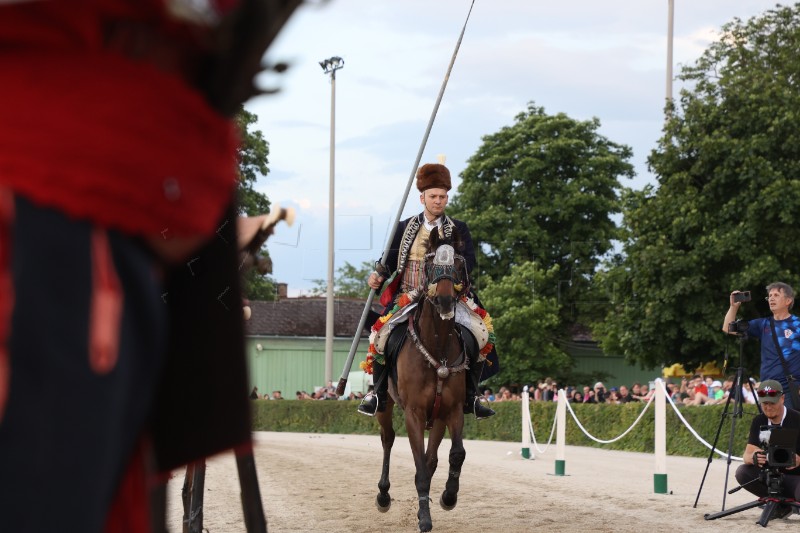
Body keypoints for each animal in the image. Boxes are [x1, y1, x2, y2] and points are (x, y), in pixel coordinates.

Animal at [376, 230, 468, 532]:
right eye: (430, 265)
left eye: (458, 264)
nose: (444, 301)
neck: (437, 345)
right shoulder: (414, 413)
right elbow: (420, 470)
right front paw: (425, 519)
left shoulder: (452, 410)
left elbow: (455, 454)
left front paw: (448, 497)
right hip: (384, 406)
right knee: (388, 439)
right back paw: (383, 495)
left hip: (437, 418)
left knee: (433, 458)